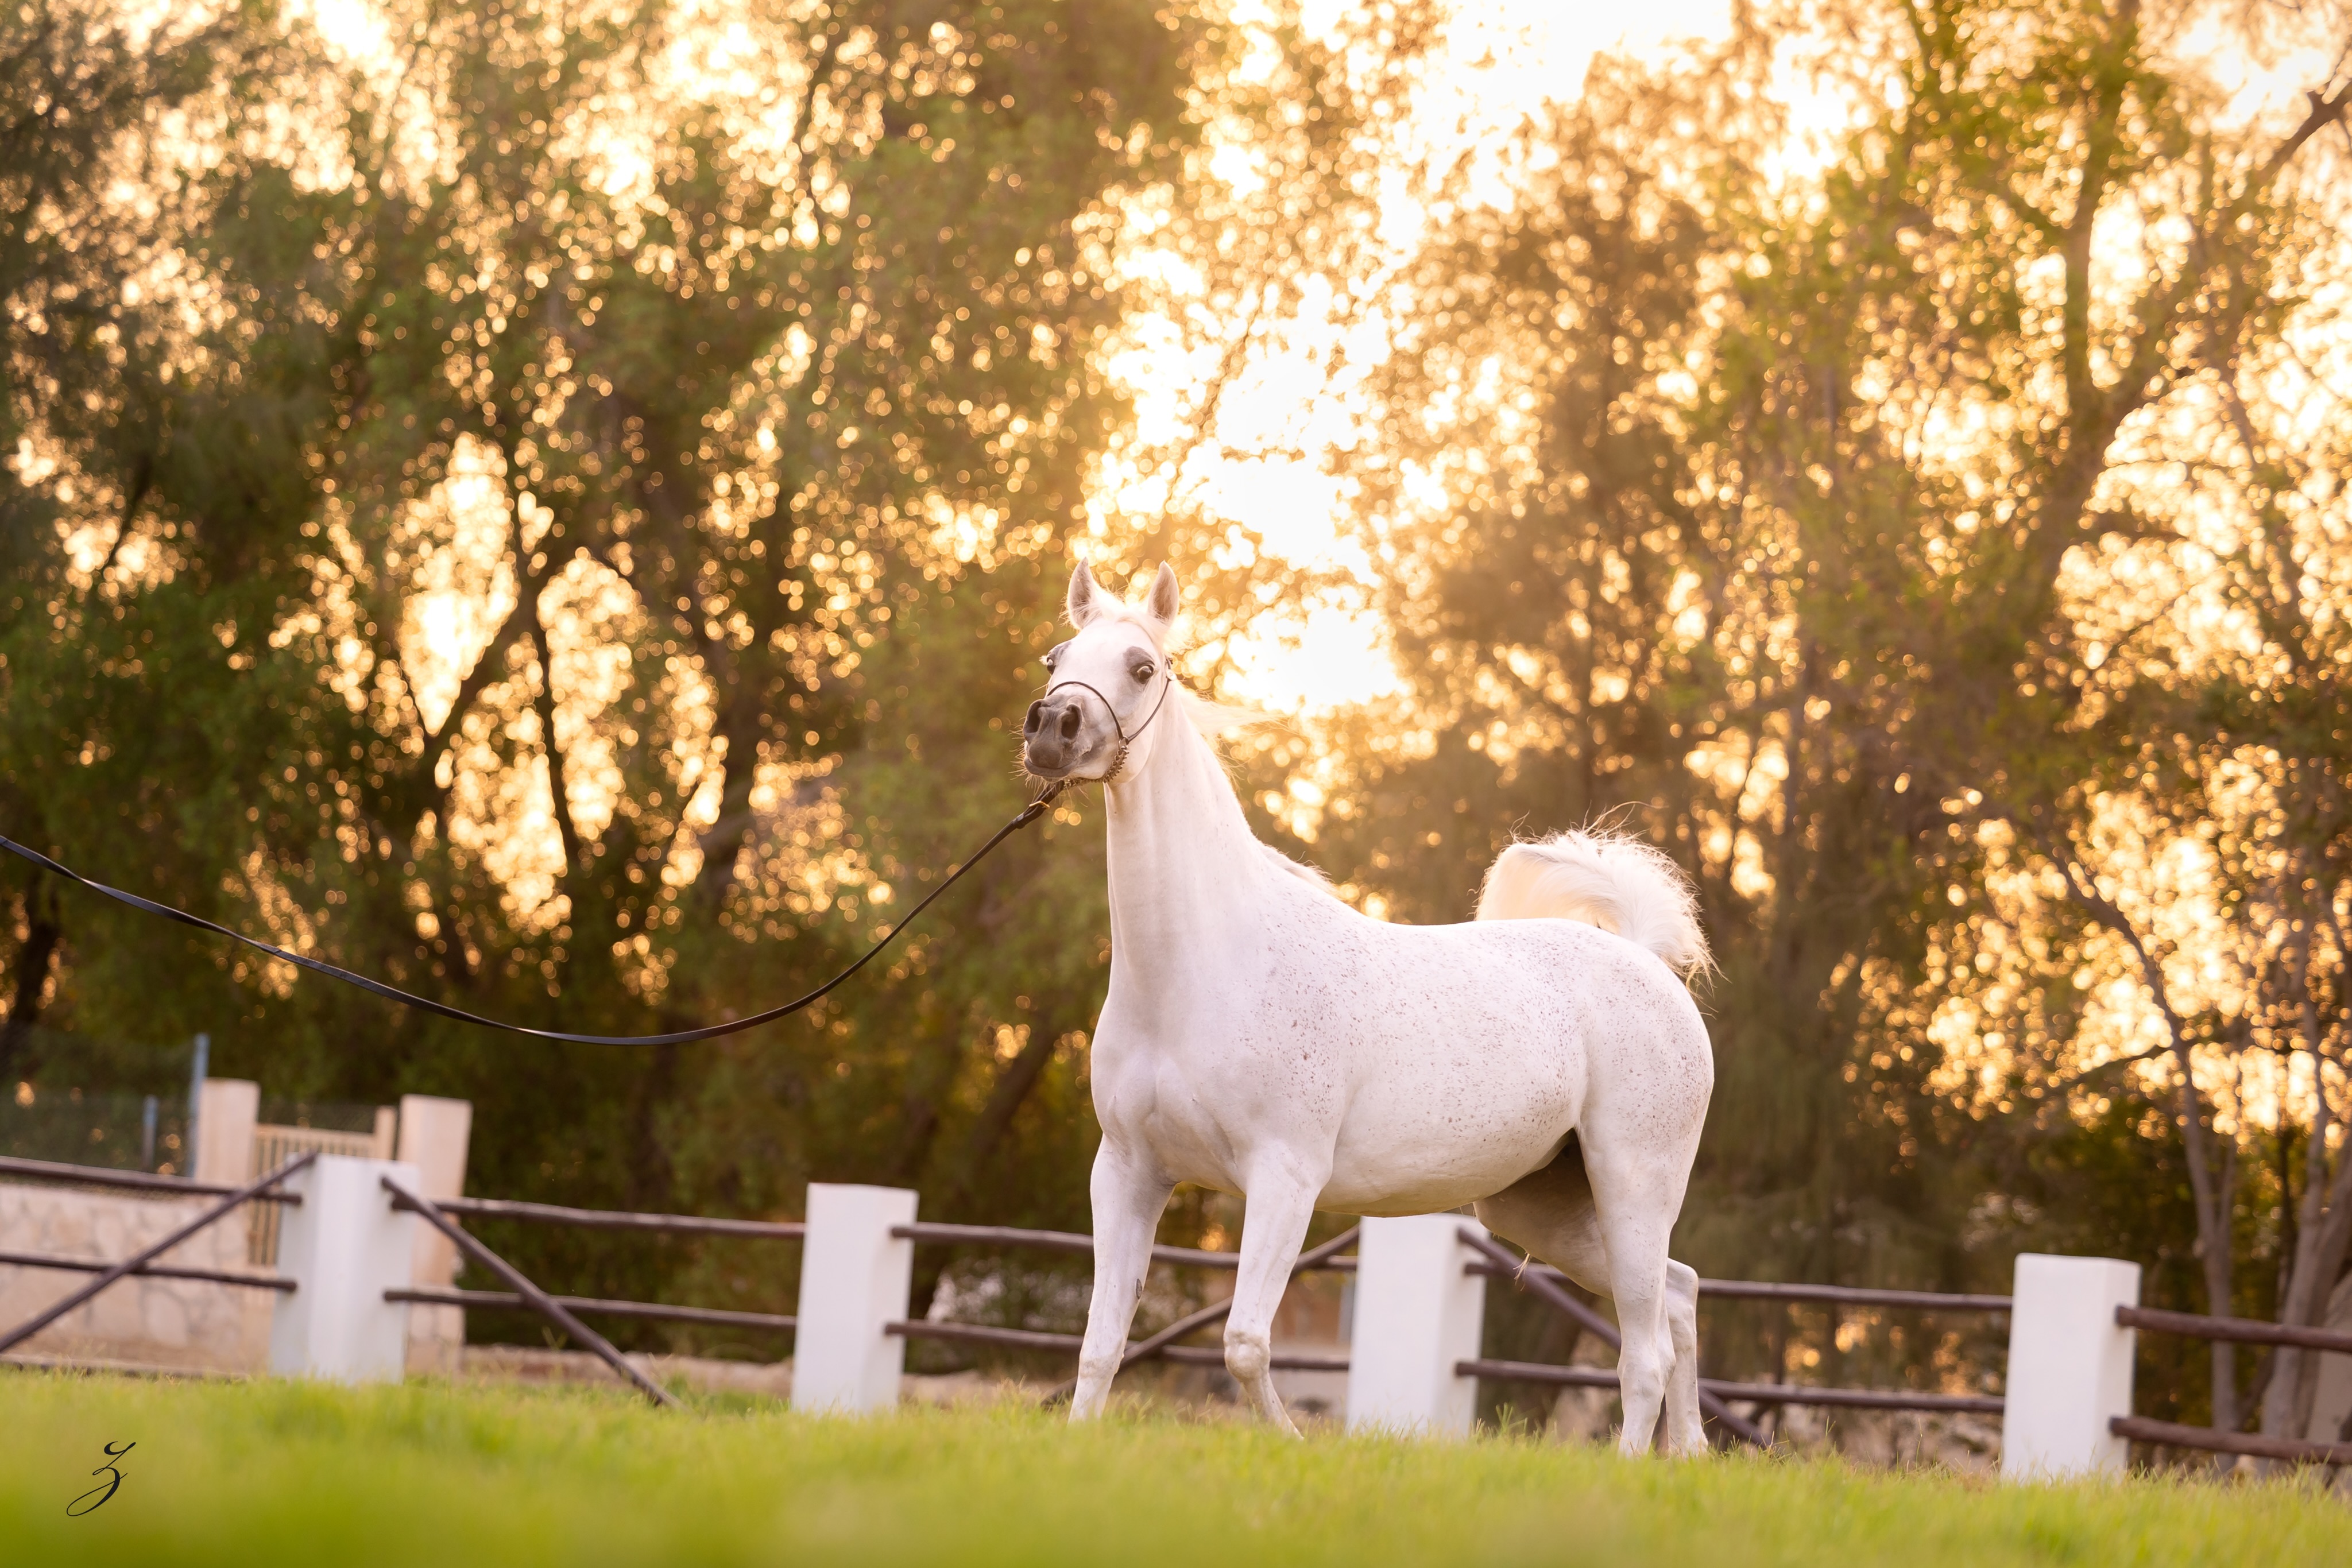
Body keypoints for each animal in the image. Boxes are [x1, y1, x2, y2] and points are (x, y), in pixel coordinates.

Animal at [1021, 562, 1717, 1455]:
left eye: (1141, 666)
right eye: (1055, 658)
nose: (1053, 729)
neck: (1203, 966)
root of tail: (1643, 957)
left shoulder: (1284, 1177)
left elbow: (1244, 1343)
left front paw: (1292, 1444)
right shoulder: (1129, 1172)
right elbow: (1102, 1340)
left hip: (1633, 1185)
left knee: (1646, 1350)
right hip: (1545, 1207)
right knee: (1681, 1294)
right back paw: (1687, 1453)